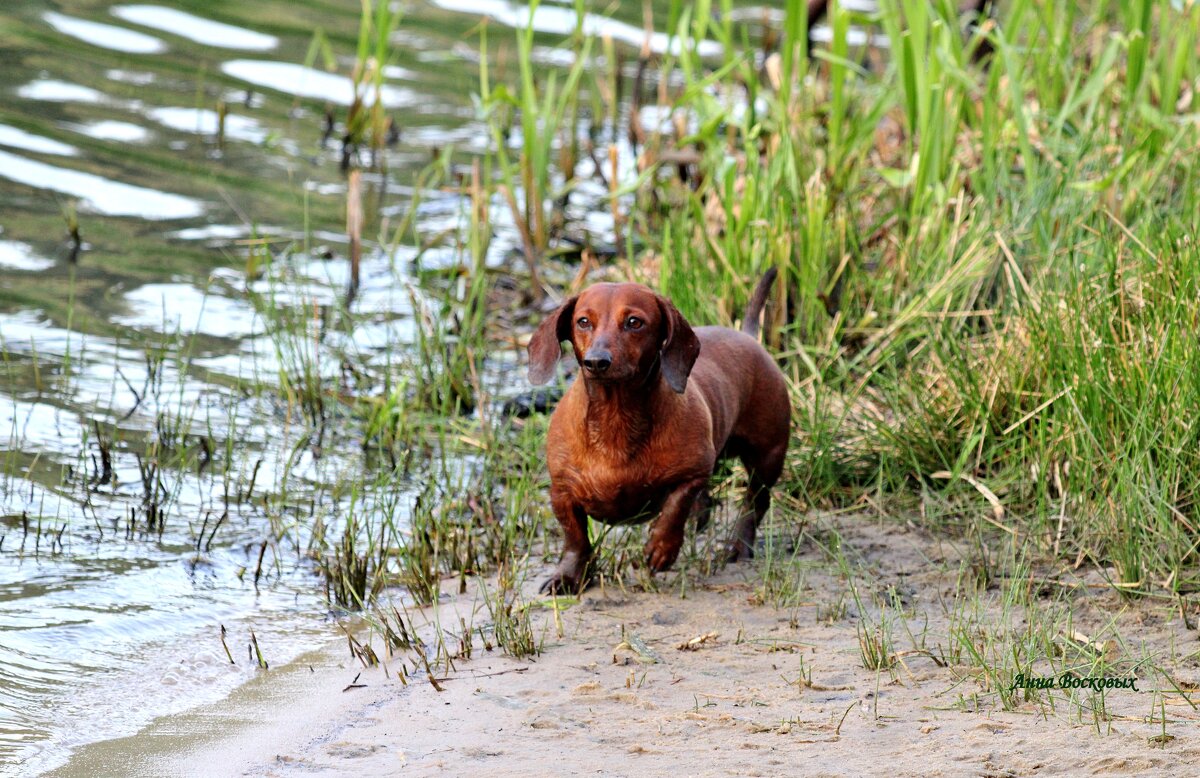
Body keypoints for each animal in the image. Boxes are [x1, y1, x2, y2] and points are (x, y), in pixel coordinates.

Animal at [530, 270, 792, 593]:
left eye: (634, 322)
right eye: (583, 321)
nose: (596, 361)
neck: (615, 419)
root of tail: (747, 335)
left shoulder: (693, 472)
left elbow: (675, 507)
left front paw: (661, 547)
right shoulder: (562, 492)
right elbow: (575, 539)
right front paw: (567, 577)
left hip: (767, 456)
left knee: (755, 502)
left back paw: (738, 547)